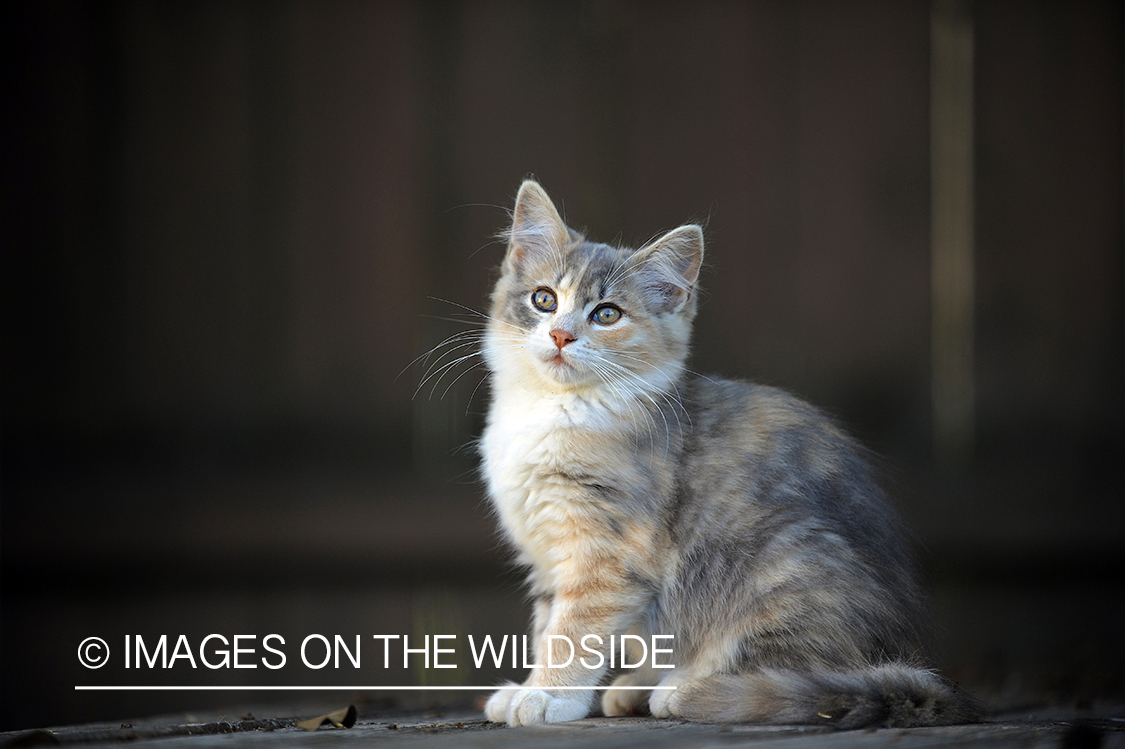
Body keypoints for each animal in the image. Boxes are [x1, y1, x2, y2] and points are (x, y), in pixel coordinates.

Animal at [474, 177, 976, 724]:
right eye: (544, 299)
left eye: (606, 314)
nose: (562, 334)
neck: (554, 408)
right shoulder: (546, 551)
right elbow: (547, 623)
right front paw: (531, 688)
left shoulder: (607, 552)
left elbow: (572, 631)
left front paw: (549, 695)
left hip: (781, 571)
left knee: (792, 665)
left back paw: (684, 686)